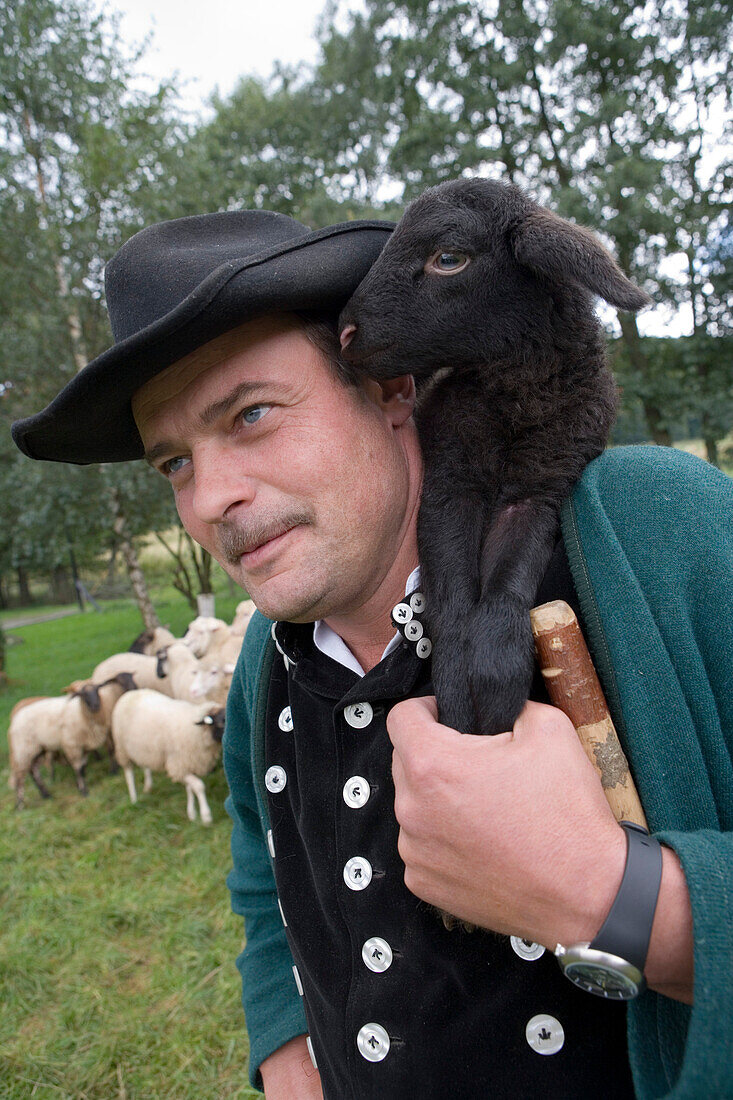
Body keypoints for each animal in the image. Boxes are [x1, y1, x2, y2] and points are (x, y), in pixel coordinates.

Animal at [110, 690, 224, 822]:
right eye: (221, 723)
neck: (195, 730)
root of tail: (130, 693)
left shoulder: (185, 763)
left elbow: (190, 788)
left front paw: (192, 813)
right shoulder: (178, 765)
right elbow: (199, 786)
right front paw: (206, 816)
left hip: (144, 749)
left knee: (145, 765)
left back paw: (148, 786)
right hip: (122, 749)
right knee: (129, 774)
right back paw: (134, 799)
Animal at [334, 176, 647, 734]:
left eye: (449, 258)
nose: (345, 334)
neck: (514, 403)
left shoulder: (543, 484)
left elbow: (510, 575)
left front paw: (497, 676)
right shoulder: (450, 478)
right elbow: (453, 593)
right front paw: (461, 693)